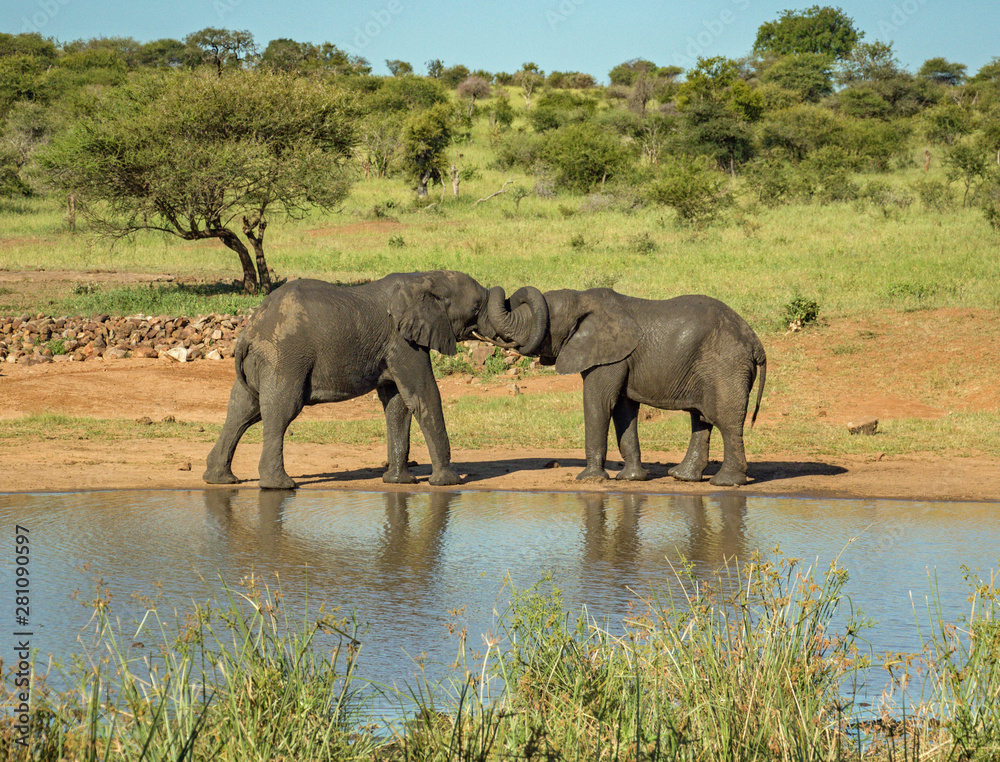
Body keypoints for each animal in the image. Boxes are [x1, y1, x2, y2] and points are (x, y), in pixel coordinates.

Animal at [203, 271, 547, 489]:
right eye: (476, 308)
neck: (424, 279)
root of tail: (248, 331)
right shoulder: (402, 341)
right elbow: (422, 395)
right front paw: (448, 482)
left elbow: (397, 404)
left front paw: (399, 482)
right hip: (284, 358)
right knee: (280, 411)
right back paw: (280, 486)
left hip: (265, 362)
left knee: (243, 409)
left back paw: (219, 479)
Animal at [482, 286, 766, 486]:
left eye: (544, 322)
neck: (581, 300)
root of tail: (756, 342)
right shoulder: (620, 358)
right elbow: (623, 409)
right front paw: (631, 479)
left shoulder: (609, 355)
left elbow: (598, 402)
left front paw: (589, 479)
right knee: (701, 419)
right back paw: (682, 477)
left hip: (726, 365)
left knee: (726, 421)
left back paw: (726, 483)